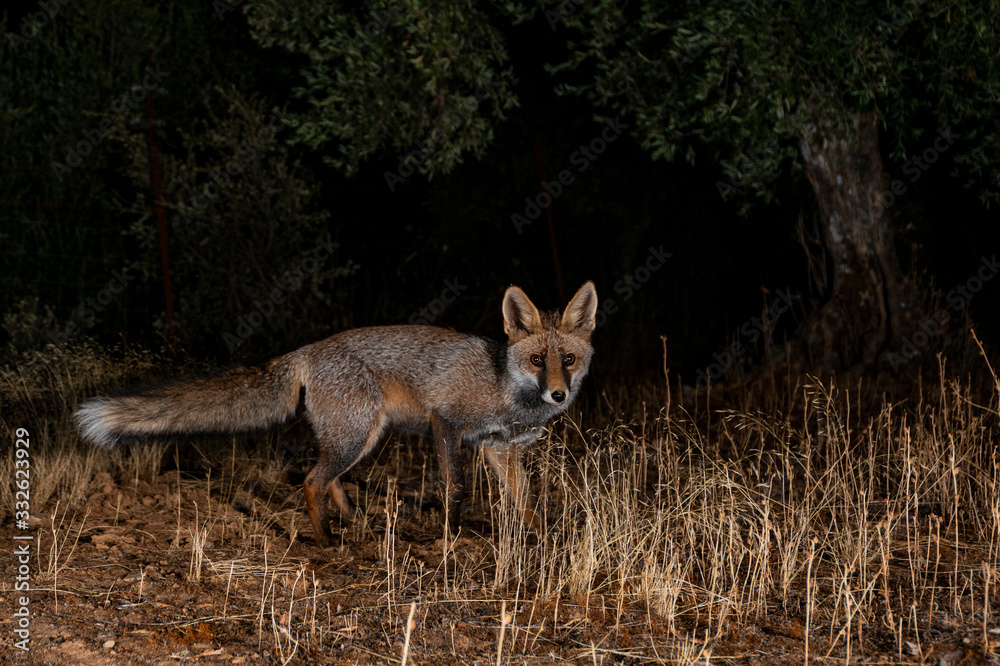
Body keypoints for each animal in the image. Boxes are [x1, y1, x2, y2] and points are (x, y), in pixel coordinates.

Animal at [74, 281, 598, 547]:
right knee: (311, 480)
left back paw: (356, 525)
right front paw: (453, 538)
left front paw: (540, 538)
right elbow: (455, 489)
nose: (557, 395)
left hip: (361, 437)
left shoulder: (499, 450)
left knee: (330, 480)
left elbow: (525, 501)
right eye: (537, 360)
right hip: (355, 436)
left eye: (568, 360)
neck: (505, 388)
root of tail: (307, 349)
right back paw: (326, 541)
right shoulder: (445, 423)